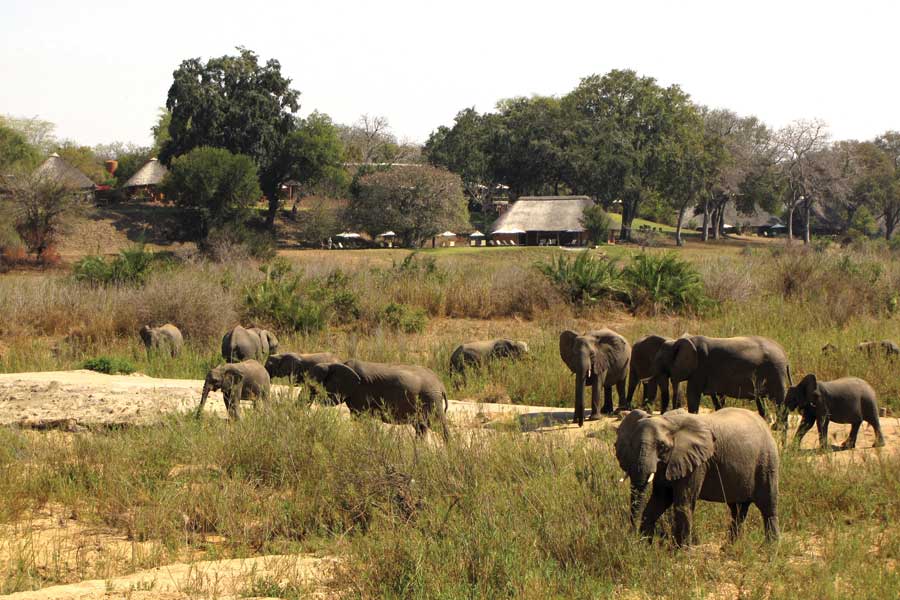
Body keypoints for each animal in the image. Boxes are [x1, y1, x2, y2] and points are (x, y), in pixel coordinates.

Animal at [310, 356, 450, 440]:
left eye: (313, 386)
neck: (336, 364)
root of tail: (441, 385)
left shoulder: (360, 392)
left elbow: (360, 419)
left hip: (431, 399)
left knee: (438, 424)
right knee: (421, 427)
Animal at [616, 406, 776, 548]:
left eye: (662, 447)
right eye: (631, 444)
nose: (630, 538)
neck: (668, 421)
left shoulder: (697, 463)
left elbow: (682, 504)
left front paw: (679, 554)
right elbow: (659, 501)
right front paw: (645, 548)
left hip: (767, 461)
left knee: (768, 506)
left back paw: (770, 549)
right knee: (737, 509)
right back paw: (729, 547)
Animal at [652, 336, 792, 420]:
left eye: (660, 360)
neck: (677, 341)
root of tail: (785, 356)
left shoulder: (700, 368)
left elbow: (692, 396)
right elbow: (716, 398)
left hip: (776, 373)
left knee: (780, 405)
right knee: (762, 404)